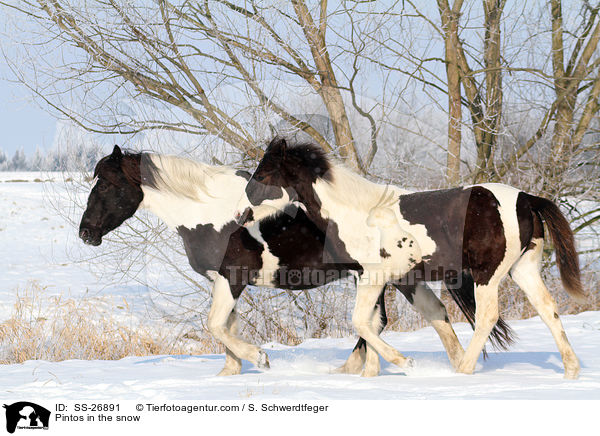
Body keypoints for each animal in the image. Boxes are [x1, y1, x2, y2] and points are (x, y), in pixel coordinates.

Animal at [78, 145, 492, 376]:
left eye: (108, 185)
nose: (86, 233)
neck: (215, 214)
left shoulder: (231, 278)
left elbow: (215, 325)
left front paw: (259, 359)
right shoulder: (225, 282)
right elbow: (224, 328)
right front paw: (230, 373)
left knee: (384, 322)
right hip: (393, 278)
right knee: (418, 316)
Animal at [238, 137, 584, 378]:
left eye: (264, 174)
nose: (242, 213)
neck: (356, 213)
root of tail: (526, 198)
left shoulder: (371, 277)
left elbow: (362, 322)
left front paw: (403, 362)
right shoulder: (385, 279)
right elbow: (379, 322)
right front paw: (369, 374)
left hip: (488, 273)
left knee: (488, 316)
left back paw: (464, 369)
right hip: (523, 270)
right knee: (548, 309)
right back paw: (571, 370)